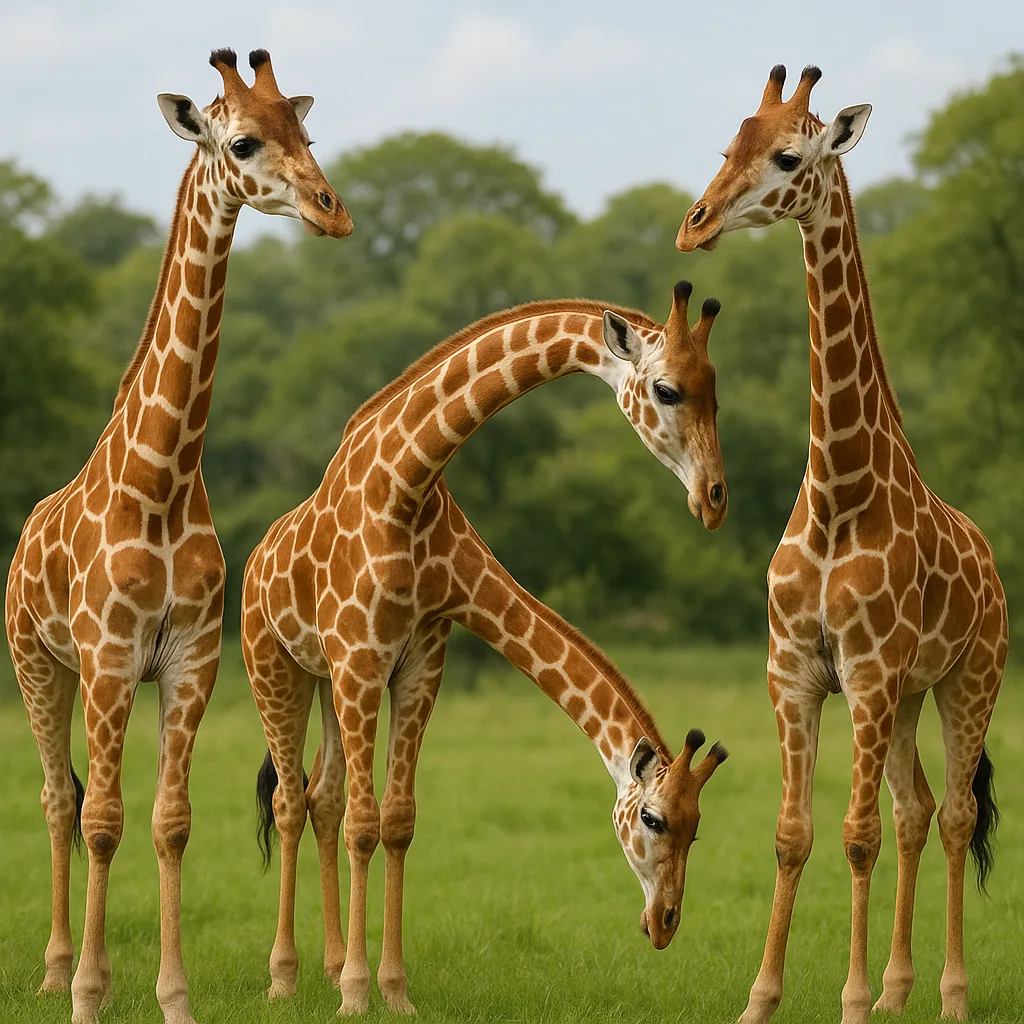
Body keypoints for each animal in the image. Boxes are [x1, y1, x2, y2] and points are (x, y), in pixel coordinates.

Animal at [4, 48, 351, 1024]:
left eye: (308, 132)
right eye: (241, 142)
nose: (332, 209)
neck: (161, 483)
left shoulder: (191, 660)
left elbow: (169, 823)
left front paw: (173, 996)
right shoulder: (110, 658)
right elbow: (102, 819)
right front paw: (90, 993)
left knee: (75, 797)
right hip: (36, 664)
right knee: (56, 799)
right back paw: (52, 970)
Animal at [242, 282, 730, 1013]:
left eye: (698, 825)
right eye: (652, 819)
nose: (665, 923)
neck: (406, 481)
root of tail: (251, 563)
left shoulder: (420, 658)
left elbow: (396, 821)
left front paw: (394, 992)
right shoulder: (361, 655)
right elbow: (363, 822)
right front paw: (357, 996)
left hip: (327, 682)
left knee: (321, 797)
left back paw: (325, 967)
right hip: (277, 668)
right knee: (291, 804)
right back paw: (283, 979)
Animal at [676, 65, 1007, 1024]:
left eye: (790, 157)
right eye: (729, 146)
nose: (695, 222)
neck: (835, 498)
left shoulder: (864, 672)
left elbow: (854, 836)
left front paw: (851, 1000)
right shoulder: (795, 672)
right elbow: (796, 834)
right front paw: (762, 999)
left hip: (968, 679)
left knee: (953, 815)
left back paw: (948, 994)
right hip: (905, 697)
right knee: (916, 808)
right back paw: (901, 991)